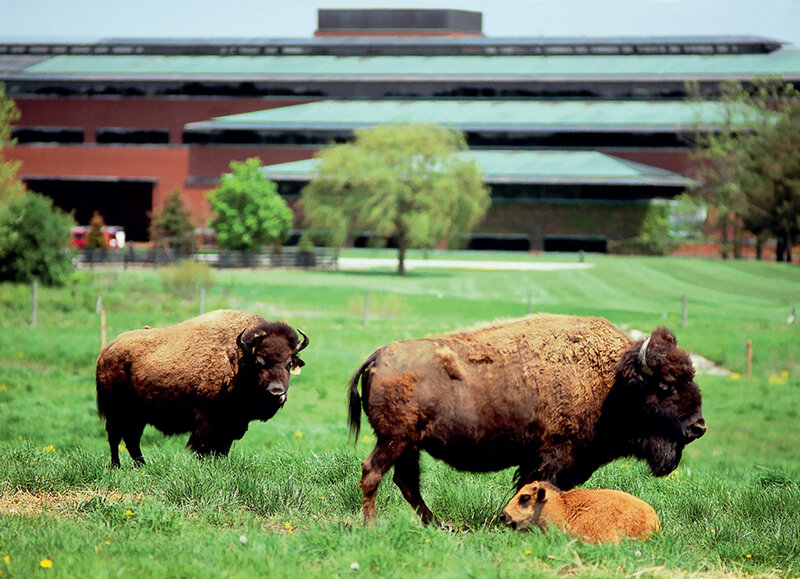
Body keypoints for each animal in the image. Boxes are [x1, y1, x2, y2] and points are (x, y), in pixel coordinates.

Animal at [96, 309, 308, 467]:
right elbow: (202, 448)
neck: (238, 359)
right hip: (116, 411)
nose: (276, 392)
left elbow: (221, 449)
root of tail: (108, 349)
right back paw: (116, 466)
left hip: (137, 415)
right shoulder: (206, 421)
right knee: (115, 438)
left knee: (131, 439)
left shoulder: (231, 424)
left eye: (289, 363)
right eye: (259, 362)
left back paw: (142, 466)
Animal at [347, 314, 705, 525]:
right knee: (373, 472)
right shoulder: (554, 456)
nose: (698, 426)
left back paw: (438, 525)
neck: (612, 383)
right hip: (394, 440)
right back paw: (372, 526)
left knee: (406, 482)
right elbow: (541, 487)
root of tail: (376, 357)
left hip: (408, 445)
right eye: (666, 385)